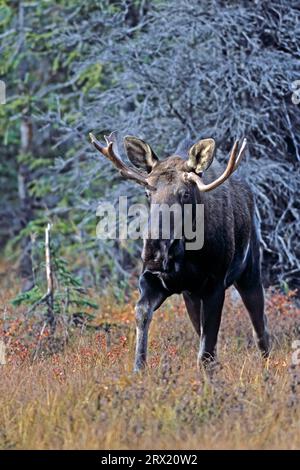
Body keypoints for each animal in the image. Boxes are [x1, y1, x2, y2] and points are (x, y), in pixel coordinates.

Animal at [88, 131, 270, 370]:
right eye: (147, 193)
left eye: (184, 194)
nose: (154, 250)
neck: (189, 255)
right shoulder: (155, 279)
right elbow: (141, 313)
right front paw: (139, 368)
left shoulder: (215, 284)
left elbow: (206, 349)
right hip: (190, 294)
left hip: (249, 271)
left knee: (260, 327)